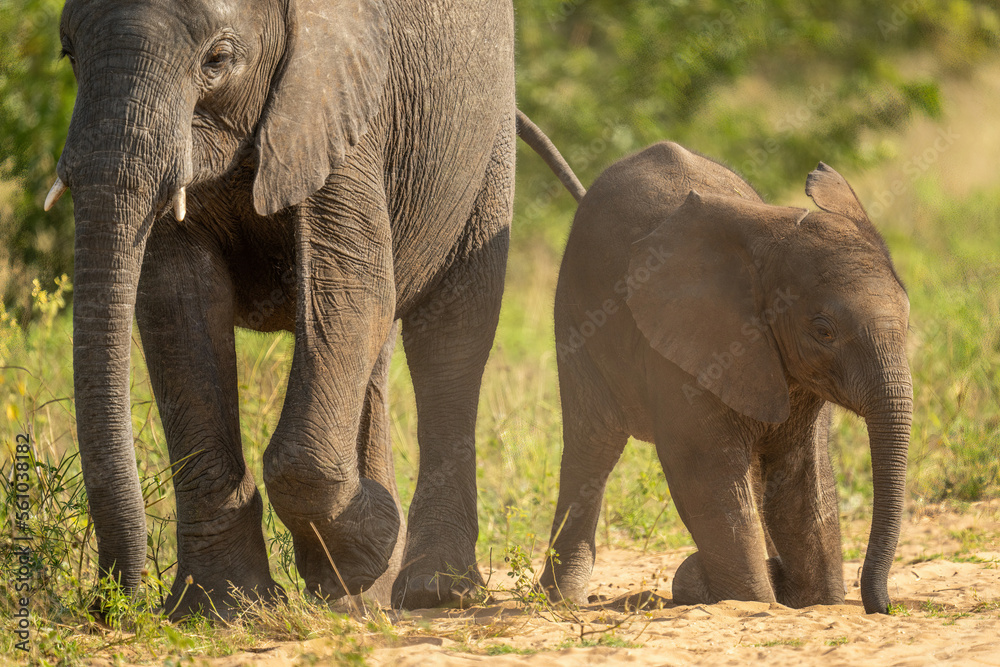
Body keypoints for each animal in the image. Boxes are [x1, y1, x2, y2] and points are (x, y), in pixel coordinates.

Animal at [45, 0, 582, 618]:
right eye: (68, 55)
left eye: (217, 59)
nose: (107, 602)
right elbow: (176, 307)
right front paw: (220, 610)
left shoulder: (343, 105)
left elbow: (349, 287)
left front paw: (357, 553)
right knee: (381, 354)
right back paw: (366, 600)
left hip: (484, 145)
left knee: (451, 341)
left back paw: (430, 591)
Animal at [538, 142, 912, 614]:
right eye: (823, 330)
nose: (882, 606)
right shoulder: (690, 342)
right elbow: (707, 472)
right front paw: (752, 602)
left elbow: (801, 473)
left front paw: (814, 602)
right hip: (575, 317)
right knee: (592, 446)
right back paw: (562, 600)